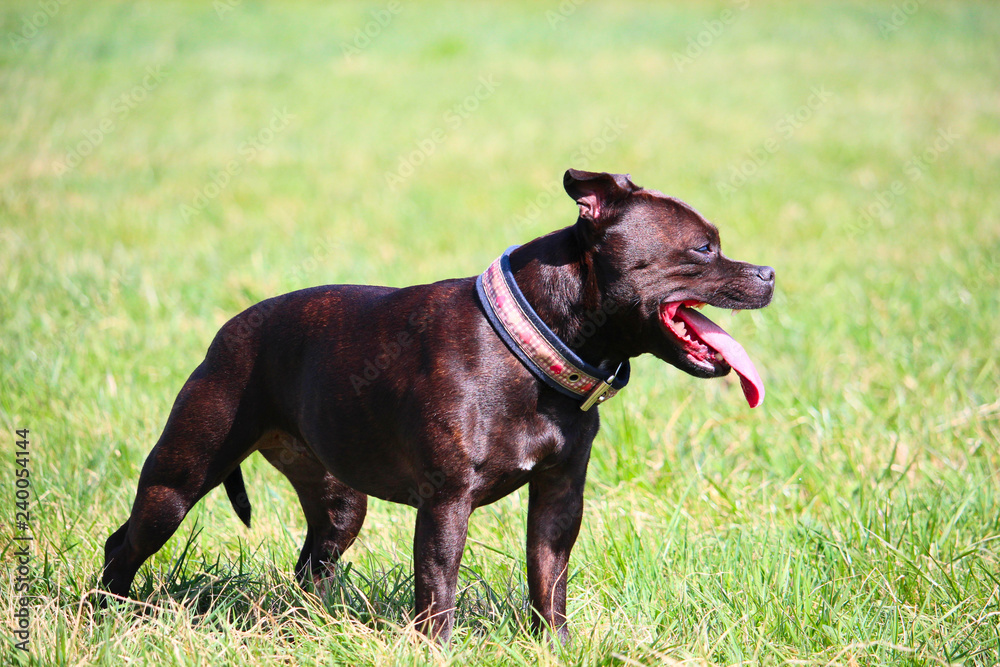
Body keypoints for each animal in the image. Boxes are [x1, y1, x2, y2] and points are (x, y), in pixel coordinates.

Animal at [99, 170, 772, 644]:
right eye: (703, 248)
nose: (767, 271)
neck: (531, 342)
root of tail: (230, 329)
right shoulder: (447, 500)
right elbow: (438, 588)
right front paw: (437, 649)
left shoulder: (558, 498)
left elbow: (547, 582)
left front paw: (555, 646)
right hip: (178, 479)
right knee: (124, 542)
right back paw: (109, 613)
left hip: (339, 504)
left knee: (312, 561)